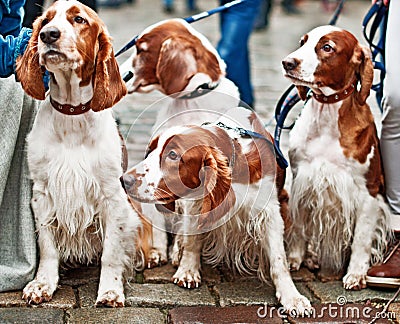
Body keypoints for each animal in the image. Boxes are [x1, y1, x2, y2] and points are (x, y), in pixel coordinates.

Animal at [16, 0, 148, 308]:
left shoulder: (113, 196)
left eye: (79, 19)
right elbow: (47, 246)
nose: (48, 35)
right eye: (45, 21)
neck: (72, 116)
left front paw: (110, 291)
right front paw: (42, 284)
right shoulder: (42, 193)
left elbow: (111, 251)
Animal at [122, 108, 312, 314]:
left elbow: (279, 260)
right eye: (150, 151)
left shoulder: (269, 213)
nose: (124, 180)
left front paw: (292, 297)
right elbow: (191, 241)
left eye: (172, 154)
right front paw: (187, 271)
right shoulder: (196, 203)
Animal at [282, 25, 390, 288]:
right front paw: (294, 259)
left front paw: (356, 274)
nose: (287, 63)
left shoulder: (369, 192)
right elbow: (299, 226)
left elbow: (362, 237)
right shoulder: (302, 180)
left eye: (327, 47)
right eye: (302, 42)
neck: (327, 115)